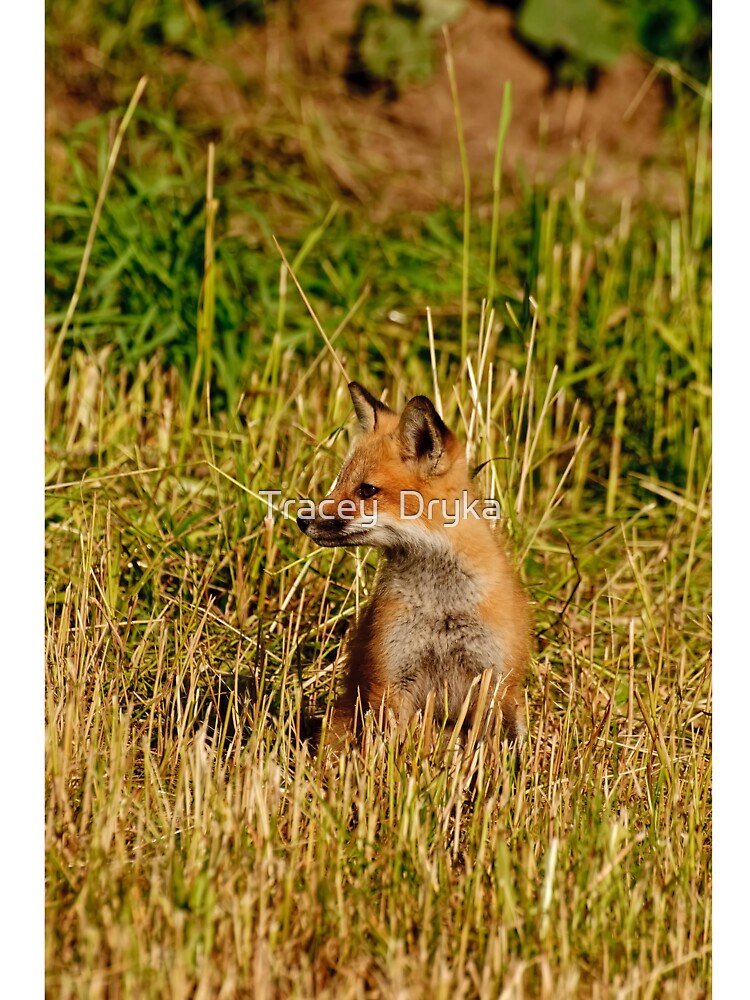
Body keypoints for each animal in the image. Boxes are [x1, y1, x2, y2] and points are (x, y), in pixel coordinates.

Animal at [297, 382, 531, 748]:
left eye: (367, 490)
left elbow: (487, 749)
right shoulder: (391, 675)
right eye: (339, 481)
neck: (442, 606)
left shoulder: (493, 680)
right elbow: (389, 748)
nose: (302, 521)